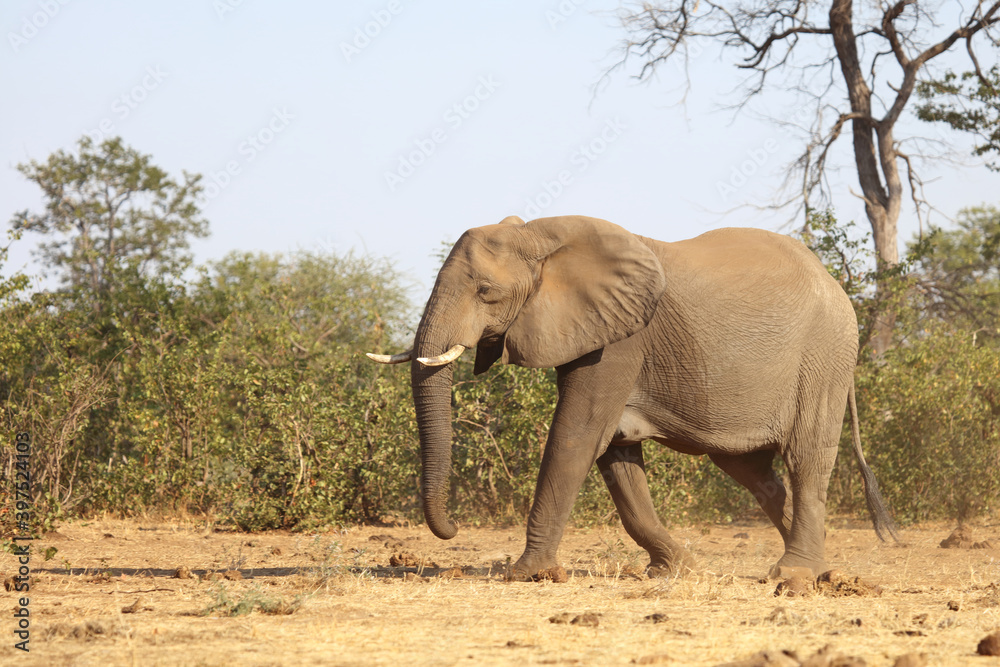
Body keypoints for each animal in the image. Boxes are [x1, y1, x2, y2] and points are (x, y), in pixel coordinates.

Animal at [367, 214, 896, 580]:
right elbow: (615, 449)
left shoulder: (622, 339)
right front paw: (677, 569)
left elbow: (578, 434)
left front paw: (526, 574)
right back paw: (822, 569)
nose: (454, 528)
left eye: (485, 291)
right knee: (752, 471)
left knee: (806, 458)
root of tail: (836, 285)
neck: (541, 235)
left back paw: (795, 575)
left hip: (823, 360)